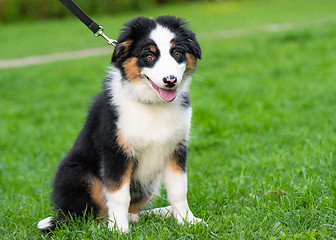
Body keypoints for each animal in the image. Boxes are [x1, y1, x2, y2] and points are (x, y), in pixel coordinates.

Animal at [37, 15, 200, 232]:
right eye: (149, 56)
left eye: (177, 53)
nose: (170, 80)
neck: (151, 104)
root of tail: (62, 216)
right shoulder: (115, 151)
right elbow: (119, 194)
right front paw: (119, 229)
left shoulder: (176, 148)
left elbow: (179, 190)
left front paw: (188, 221)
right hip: (80, 175)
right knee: (86, 219)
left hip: (149, 183)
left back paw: (160, 213)